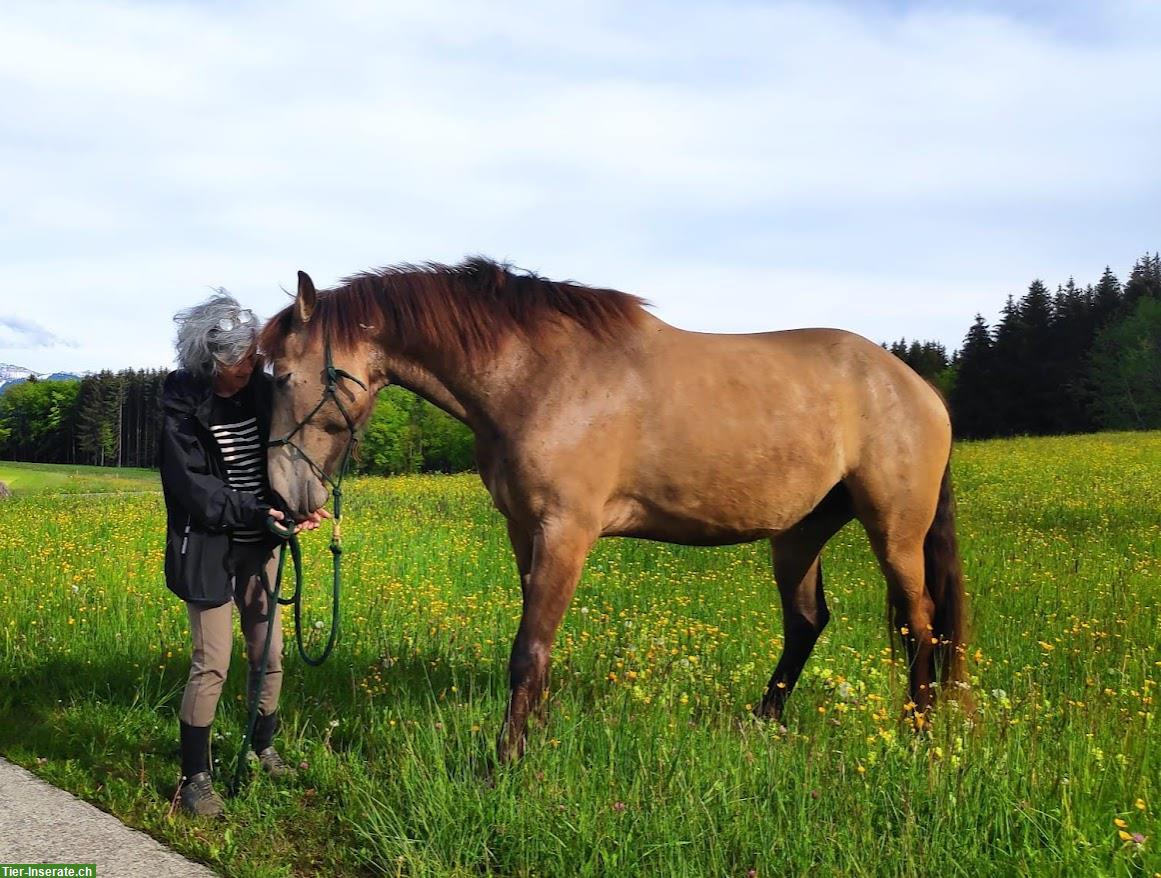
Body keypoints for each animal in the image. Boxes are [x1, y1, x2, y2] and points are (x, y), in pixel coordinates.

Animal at [258, 255, 965, 761]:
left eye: (285, 376)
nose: (283, 496)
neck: (538, 376)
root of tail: (915, 386)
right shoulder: (525, 532)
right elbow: (536, 642)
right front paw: (534, 735)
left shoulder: (566, 531)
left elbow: (529, 648)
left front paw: (503, 762)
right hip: (797, 534)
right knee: (807, 622)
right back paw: (764, 721)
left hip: (895, 533)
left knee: (921, 622)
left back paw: (920, 734)